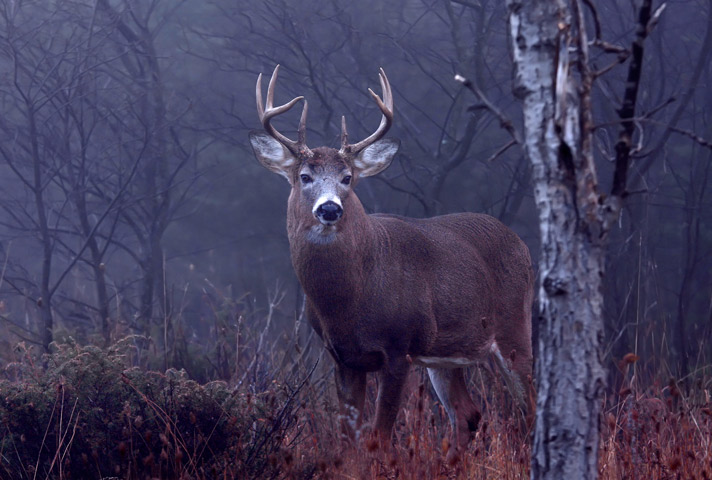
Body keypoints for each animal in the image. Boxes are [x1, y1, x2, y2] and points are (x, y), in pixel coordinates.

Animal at [250, 65, 536, 456]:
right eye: (304, 177)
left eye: (348, 178)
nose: (329, 208)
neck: (349, 301)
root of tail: (520, 243)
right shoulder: (342, 358)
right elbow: (349, 441)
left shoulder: (400, 347)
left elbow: (379, 438)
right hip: (447, 354)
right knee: (468, 414)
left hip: (514, 327)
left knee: (530, 407)